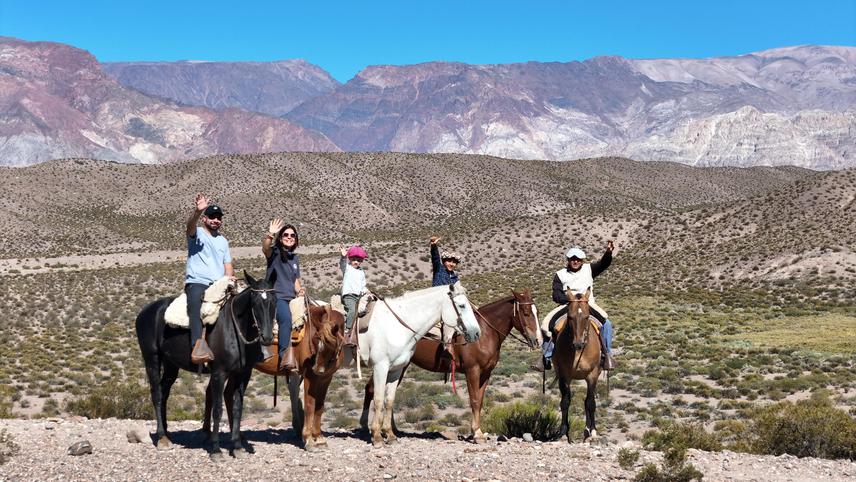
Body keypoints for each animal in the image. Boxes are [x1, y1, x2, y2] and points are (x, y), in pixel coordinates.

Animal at [135, 272, 274, 460]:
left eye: (274, 300)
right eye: (255, 302)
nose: (267, 337)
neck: (235, 329)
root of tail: (144, 311)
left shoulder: (243, 374)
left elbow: (237, 408)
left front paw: (237, 447)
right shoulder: (219, 373)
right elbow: (217, 409)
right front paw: (216, 449)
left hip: (170, 364)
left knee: (164, 392)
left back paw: (165, 434)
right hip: (152, 358)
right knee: (156, 394)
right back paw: (162, 437)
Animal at [204, 304, 344, 450]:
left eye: (330, 344)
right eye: (316, 340)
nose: (317, 369)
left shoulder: (326, 378)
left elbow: (320, 407)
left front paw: (319, 438)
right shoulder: (309, 376)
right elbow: (310, 405)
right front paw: (309, 440)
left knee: (224, 393)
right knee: (215, 393)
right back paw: (210, 434)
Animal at [356, 282, 482, 448]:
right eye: (462, 305)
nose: (477, 333)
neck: (396, 326)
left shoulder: (395, 369)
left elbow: (389, 401)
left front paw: (390, 435)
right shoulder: (380, 367)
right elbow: (378, 400)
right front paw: (377, 437)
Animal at [362, 288, 540, 442]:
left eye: (536, 312)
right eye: (526, 313)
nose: (537, 340)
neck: (484, 333)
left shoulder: (486, 373)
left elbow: (480, 401)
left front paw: (477, 431)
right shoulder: (472, 371)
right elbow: (474, 400)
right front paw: (476, 434)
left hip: (399, 366)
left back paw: (392, 430)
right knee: (371, 389)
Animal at [548, 288, 600, 442]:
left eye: (587, 317)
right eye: (570, 317)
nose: (578, 343)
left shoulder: (592, 375)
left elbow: (590, 403)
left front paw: (593, 431)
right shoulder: (564, 375)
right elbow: (565, 402)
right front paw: (563, 432)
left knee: (587, 401)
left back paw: (588, 430)